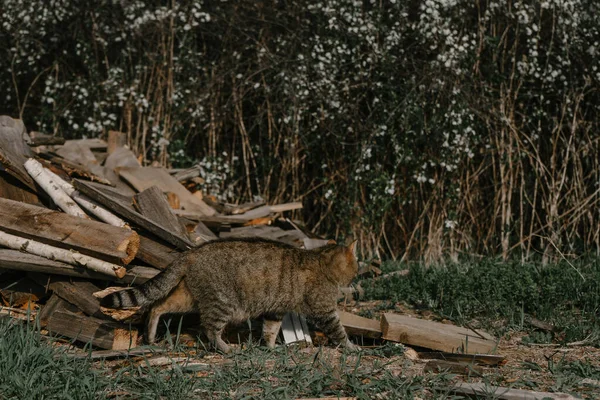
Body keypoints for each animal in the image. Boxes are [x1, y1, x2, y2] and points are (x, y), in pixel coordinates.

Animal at [101, 236, 358, 352]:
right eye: (356, 263)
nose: (358, 273)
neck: (323, 261)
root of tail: (192, 252)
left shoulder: (276, 310)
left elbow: (270, 330)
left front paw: (270, 347)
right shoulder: (324, 311)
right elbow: (339, 330)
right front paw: (351, 346)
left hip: (188, 297)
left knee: (157, 306)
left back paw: (152, 335)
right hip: (222, 302)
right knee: (210, 328)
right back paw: (225, 347)